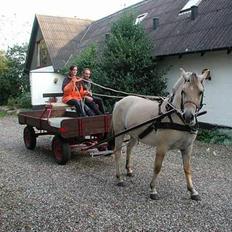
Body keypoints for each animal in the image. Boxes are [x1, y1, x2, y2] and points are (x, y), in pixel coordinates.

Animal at [110, 68, 208, 200]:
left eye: (200, 92)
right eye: (183, 91)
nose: (188, 117)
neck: (175, 116)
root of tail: (120, 101)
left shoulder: (187, 148)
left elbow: (187, 169)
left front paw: (192, 191)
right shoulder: (162, 146)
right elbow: (157, 167)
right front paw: (153, 189)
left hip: (135, 134)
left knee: (129, 148)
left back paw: (129, 170)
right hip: (120, 133)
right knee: (117, 153)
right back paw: (119, 178)